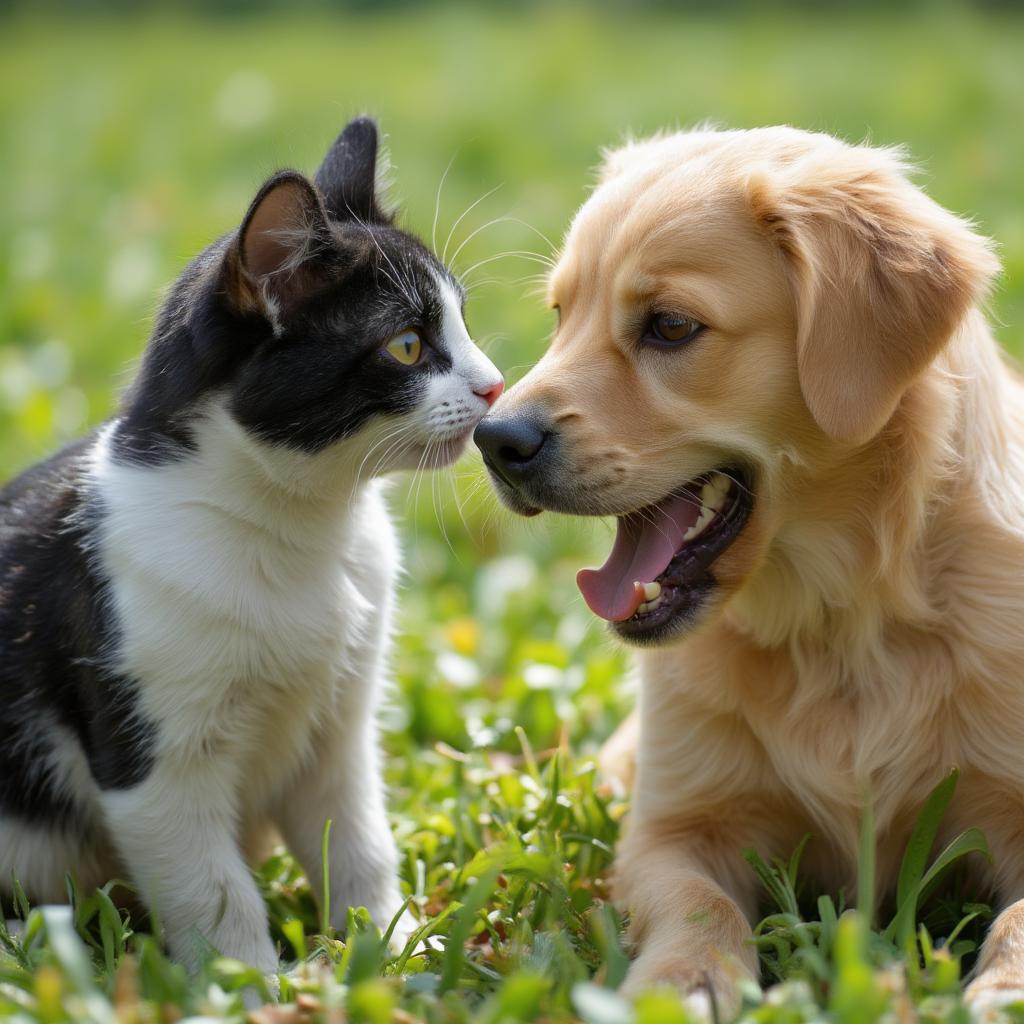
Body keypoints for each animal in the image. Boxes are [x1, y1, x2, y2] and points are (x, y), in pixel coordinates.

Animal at [0, 116, 503, 970]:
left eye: (463, 322)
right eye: (406, 345)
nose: (497, 385)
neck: (298, 528)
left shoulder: (342, 725)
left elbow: (358, 841)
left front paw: (394, 950)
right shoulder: (155, 761)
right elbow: (213, 889)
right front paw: (251, 983)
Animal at [475, 128, 1024, 1015]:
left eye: (669, 326)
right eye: (561, 316)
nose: (493, 441)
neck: (838, 623)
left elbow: (1019, 919)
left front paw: (1003, 992)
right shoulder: (671, 828)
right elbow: (702, 903)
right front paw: (686, 981)